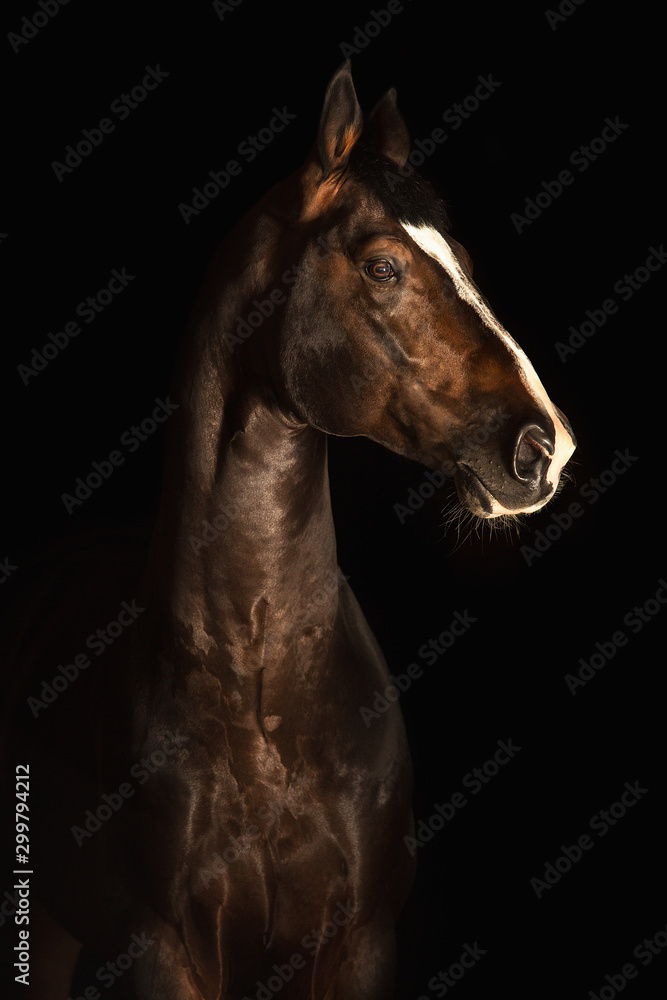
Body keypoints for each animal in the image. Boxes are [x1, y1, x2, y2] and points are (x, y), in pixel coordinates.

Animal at [1, 62, 575, 999]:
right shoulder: (164, 950)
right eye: (382, 266)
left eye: (463, 264)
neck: (264, 691)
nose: (544, 447)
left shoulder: (360, 944)